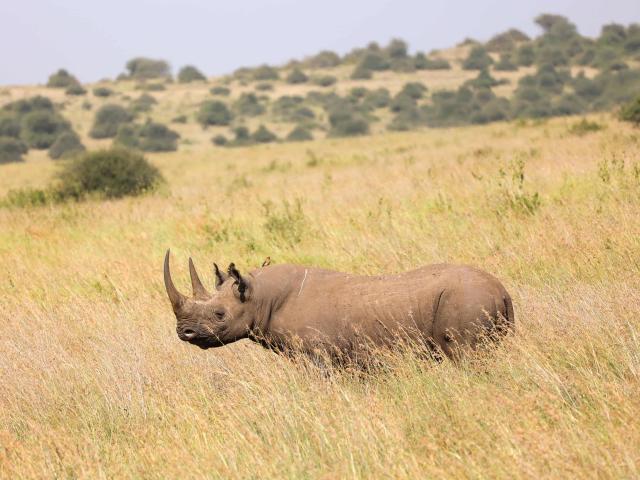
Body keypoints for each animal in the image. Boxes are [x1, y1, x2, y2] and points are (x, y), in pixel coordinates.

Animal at [163, 250, 514, 362]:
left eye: (219, 314)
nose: (184, 332)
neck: (258, 295)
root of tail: (502, 290)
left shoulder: (318, 356)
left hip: (468, 299)